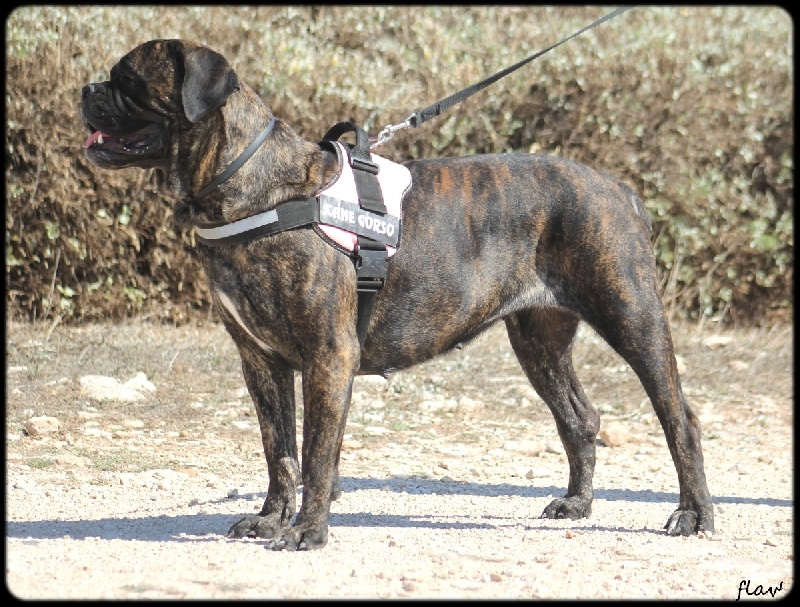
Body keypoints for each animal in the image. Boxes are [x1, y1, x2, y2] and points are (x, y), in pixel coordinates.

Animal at [81, 39, 714, 550]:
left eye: (128, 80)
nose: (86, 88)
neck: (254, 186)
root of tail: (619, 189)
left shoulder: (328, 356)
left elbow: (316, 452)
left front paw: (307, 531)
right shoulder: (261, 360)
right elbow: (278, 450)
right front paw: (270, 519)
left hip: (632, 317)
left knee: (679, 418)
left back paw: (693, 514)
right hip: (539, 341)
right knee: (579, 418)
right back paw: (577, 503)